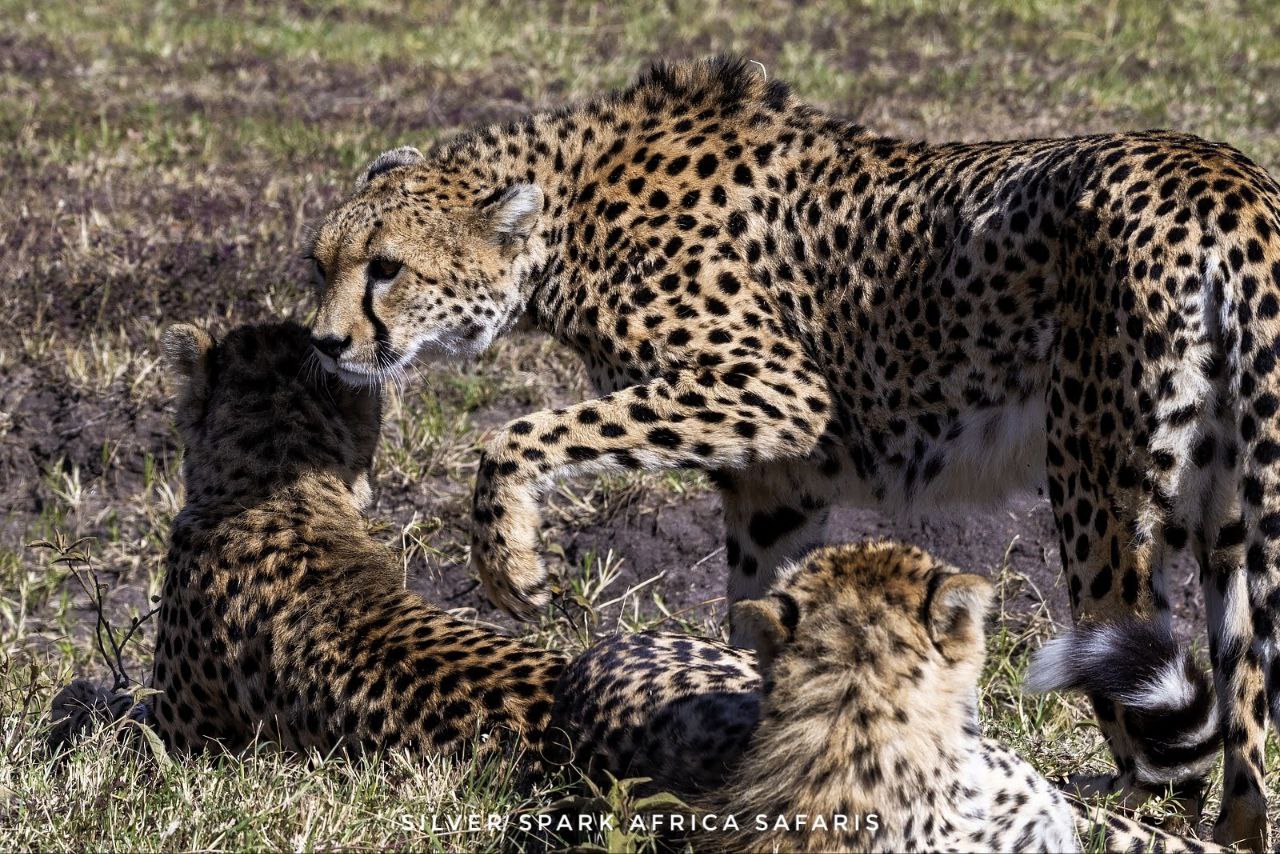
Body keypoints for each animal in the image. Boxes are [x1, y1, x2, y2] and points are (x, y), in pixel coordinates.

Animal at [307, 60, 1280, 850]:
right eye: (320, 264)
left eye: (387, 268)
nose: (323, 343)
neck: (569, 214)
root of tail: (1225, 177)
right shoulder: (775, 485)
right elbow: (762, 620)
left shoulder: (778, 392)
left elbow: (514, 433)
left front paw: (508, 561)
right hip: (1238, 517)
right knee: (1245, 733)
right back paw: (1231, 821)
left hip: (1096, 497)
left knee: (1156, 739)